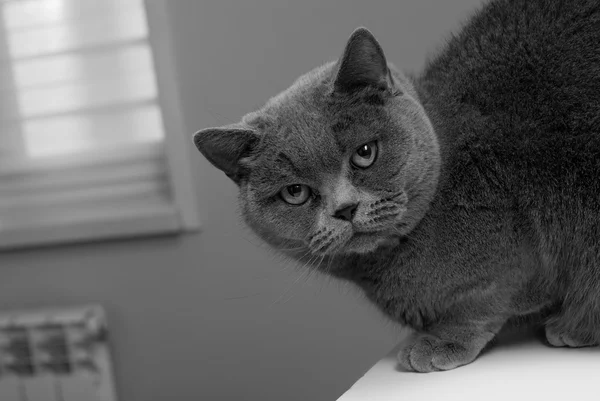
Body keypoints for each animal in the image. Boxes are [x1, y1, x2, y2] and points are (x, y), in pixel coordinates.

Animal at [193, 0, 600, 372]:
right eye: (295, 193)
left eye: (365, 153)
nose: (345, 209)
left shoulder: (521, 254)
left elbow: (484, 301)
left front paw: (440, 342)